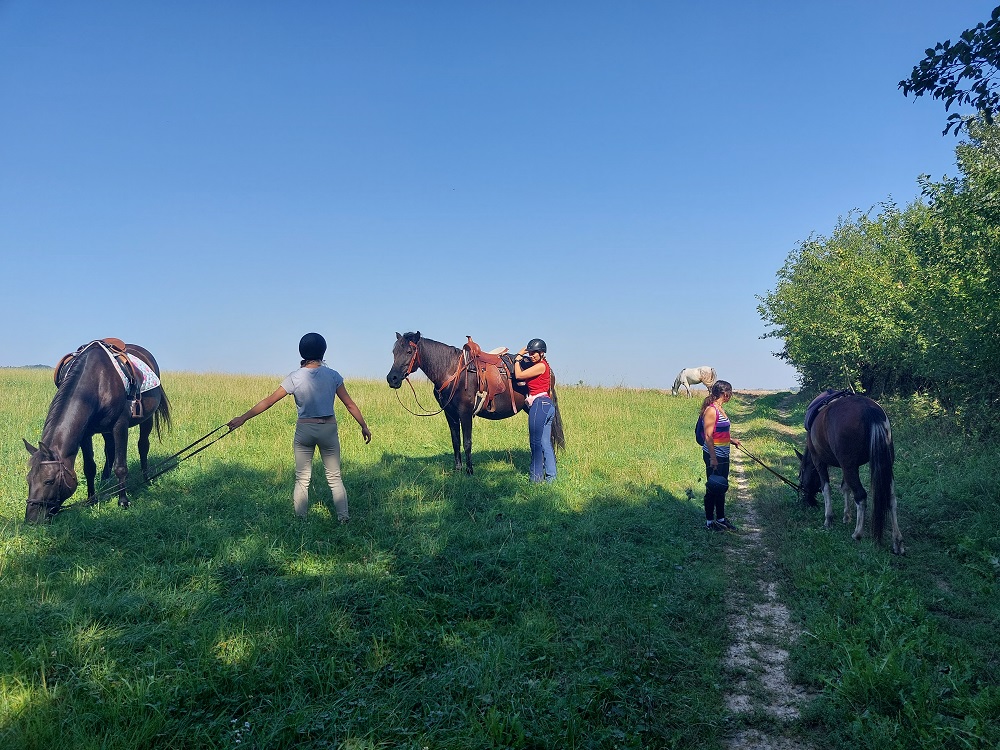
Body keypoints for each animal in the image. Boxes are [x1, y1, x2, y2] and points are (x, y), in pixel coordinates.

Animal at [23, 342, 170, 524]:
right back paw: (106, 481)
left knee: (143, 446)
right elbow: (89, 467)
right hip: (107, 430)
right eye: (28, 479)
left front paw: (123, 501)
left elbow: (121, 466)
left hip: (146, 419)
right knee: (110, 449)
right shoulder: (86, 434)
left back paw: (146, 478)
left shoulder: (120, 425)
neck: (98, 381)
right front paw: (91, 500)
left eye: (48, 481)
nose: (31, 519)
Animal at [386, 334, 568, 476]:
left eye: (409, 352)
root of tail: (548, 368)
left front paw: (469, 471)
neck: (452, 371)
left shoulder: (465, 413)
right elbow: (455, 441)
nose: (392, 378)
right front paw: (458, 469)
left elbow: (467, 442)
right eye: (394, 352)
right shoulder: (450, 414)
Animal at [796, 396, 908, 556]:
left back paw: (857, 533)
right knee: (891, 499)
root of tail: (868, 408)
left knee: (861, 496)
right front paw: (846, 516)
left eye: (800, 477)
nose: (808, 502)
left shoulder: (820, 461)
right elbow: (845, 488)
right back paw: (897, 541)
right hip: (884, 464)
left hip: (848, 465)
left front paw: (828, 519)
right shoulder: (848, 467)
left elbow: (826, 489)